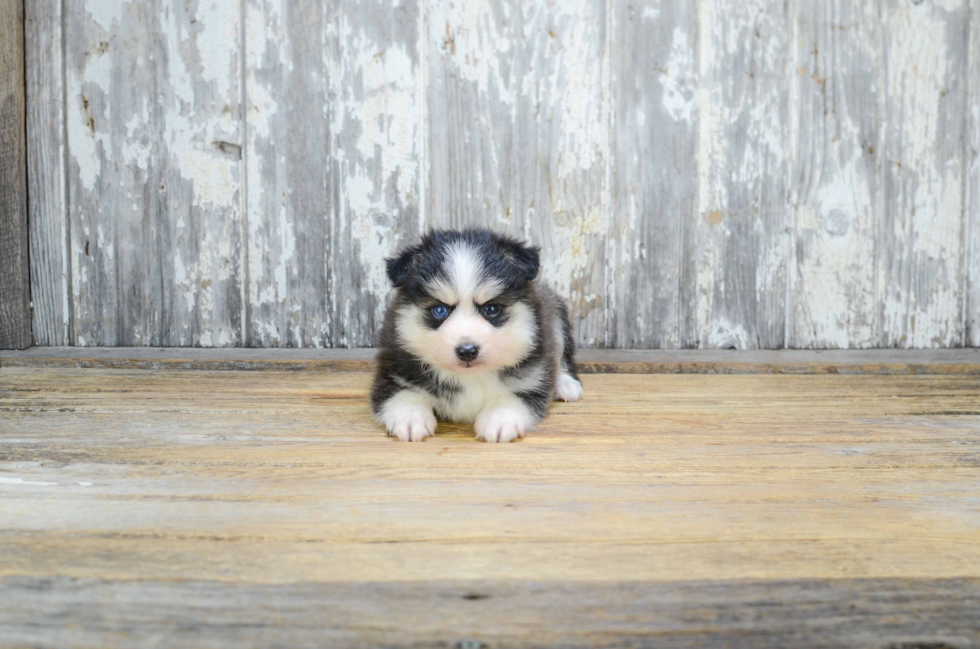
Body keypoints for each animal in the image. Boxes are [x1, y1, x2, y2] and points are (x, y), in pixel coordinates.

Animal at [370, 227, 580, 440]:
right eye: (440, 310)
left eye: (491, 309)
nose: (467, 351)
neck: (470, 378)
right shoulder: (393, 370)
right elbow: (403, 392)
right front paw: (410, 416)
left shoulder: (534, 375)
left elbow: (515, 393)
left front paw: (500, 418)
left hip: (555, 313)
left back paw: (565, 383)